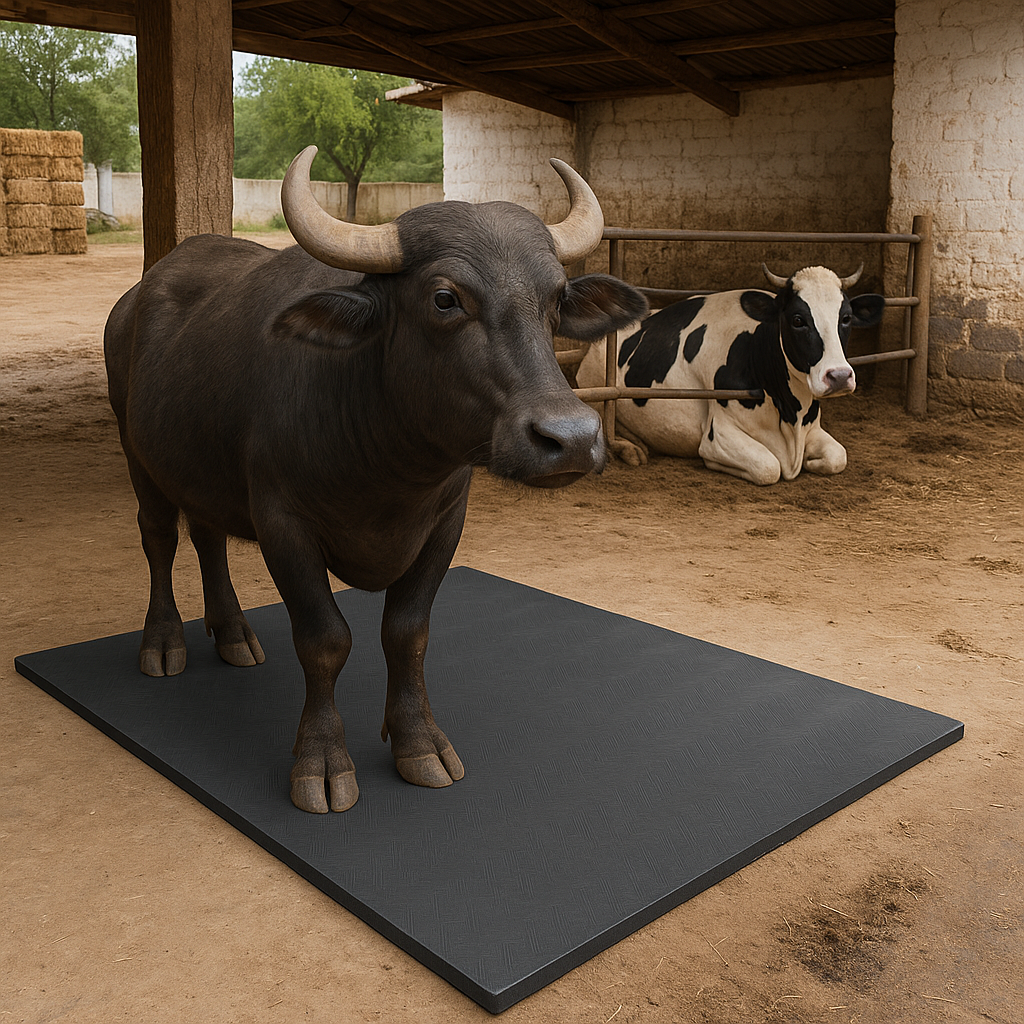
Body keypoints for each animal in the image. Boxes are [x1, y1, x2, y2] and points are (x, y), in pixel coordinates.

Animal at [103, 147, 649, 813]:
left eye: (555, 300)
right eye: (444, 299)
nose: (570, 438)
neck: (389, 472)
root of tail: (136, 297)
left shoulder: (445, 523)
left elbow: (407, 633)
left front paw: (418, 743)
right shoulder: (284, 524)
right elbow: (325, 640)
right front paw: (322, 763)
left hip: (201, 466)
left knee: (208, 537)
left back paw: (233, 634)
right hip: (137, 454)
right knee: (159, 538)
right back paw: (162, 644)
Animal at [576, 265, 886, 484]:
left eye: (845, 318)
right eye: (798, 320)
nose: (839, 376)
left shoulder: (812, 426)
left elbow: (838, 456)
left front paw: (814, 463)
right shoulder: (719, 435)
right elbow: (768, 467)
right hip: (595, 392)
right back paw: (631, 449)